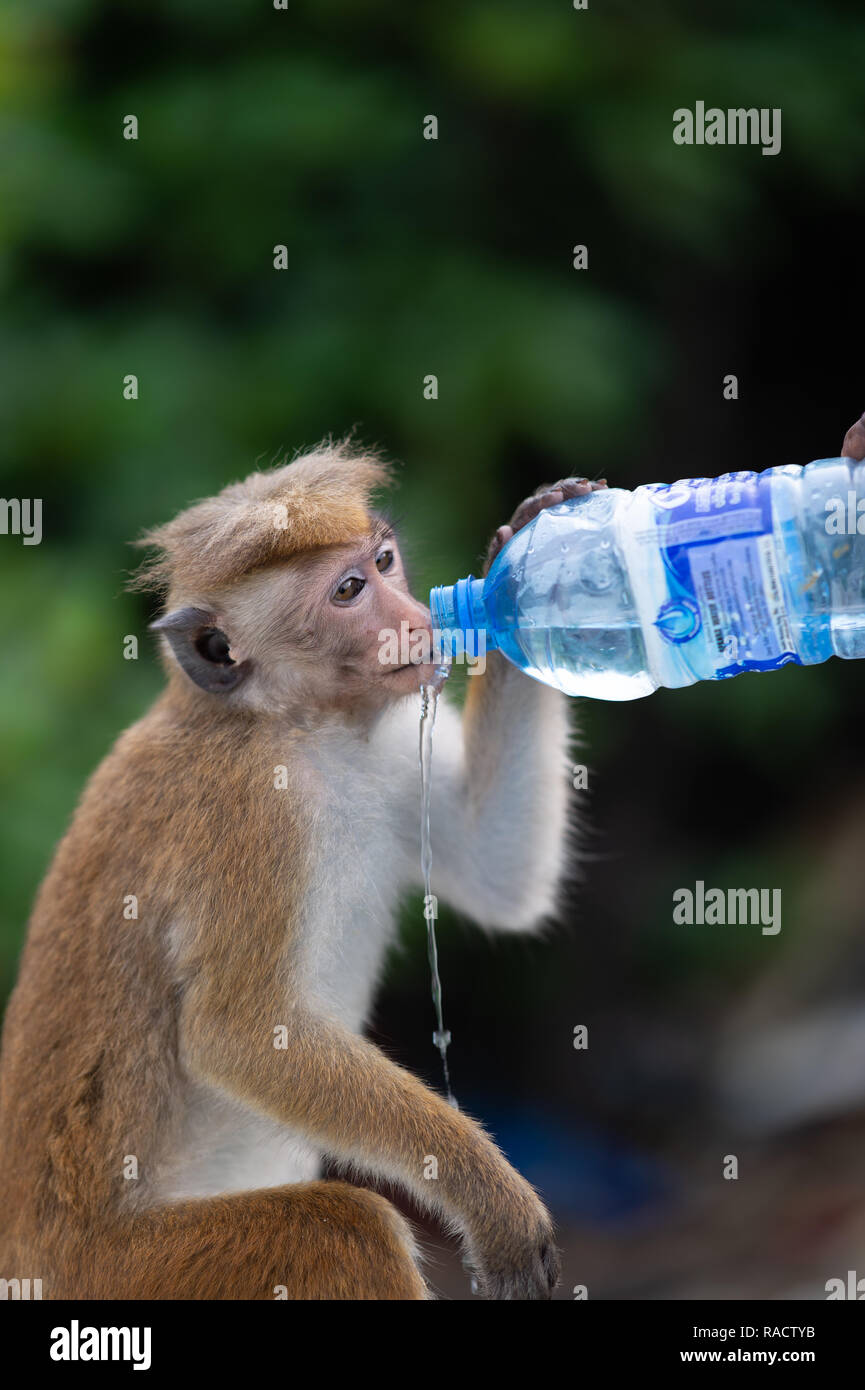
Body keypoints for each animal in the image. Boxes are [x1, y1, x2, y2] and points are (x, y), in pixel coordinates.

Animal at [0, 444, 603, 1301]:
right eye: (348, 593)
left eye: (382, 562)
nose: (418, 618)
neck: (294, 724)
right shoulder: (256, 811)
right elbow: (240, 1032)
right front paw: (488, 1197)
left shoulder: (388, 743)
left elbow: (498, 876)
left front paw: (523, 558)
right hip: (124, 1276)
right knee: (347, 1233)